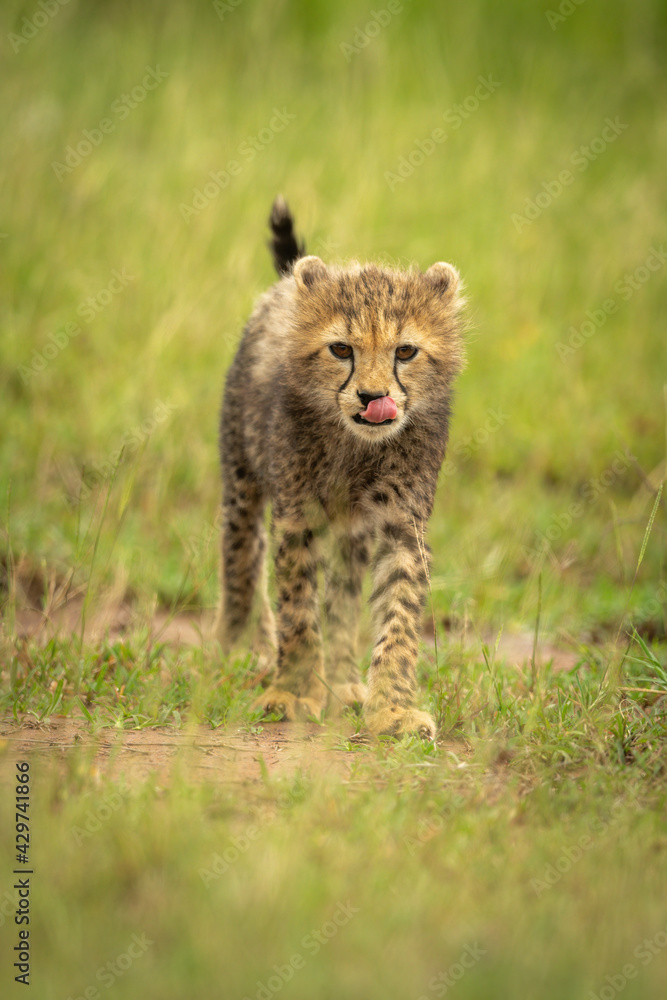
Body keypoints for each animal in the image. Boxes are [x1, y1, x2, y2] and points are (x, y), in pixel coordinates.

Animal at [216, 197, 465, 739]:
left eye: (405, 351)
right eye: (341, 349)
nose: (373, 398)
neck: (358, 447)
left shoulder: (401, 521)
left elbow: (397, 614)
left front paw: (390, 709)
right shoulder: (296, 515)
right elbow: (298, 609)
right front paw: (292, 691)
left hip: (353, 531)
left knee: (345, 595)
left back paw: (347, 682)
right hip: (242, 478)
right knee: (241, 558)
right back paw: (237, 649)